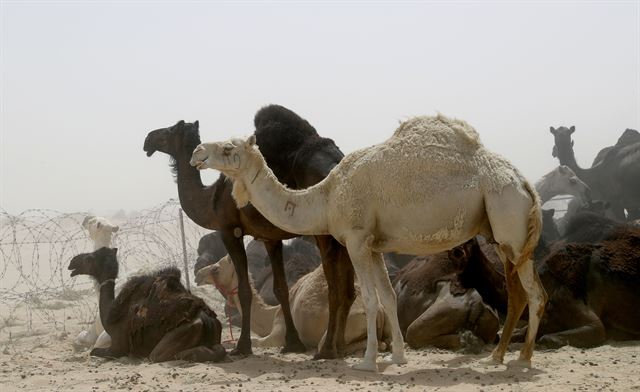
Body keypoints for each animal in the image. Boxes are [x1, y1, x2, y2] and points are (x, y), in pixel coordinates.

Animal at [67, 248, 226, 362]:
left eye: (89, 258)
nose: (72, 261)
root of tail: (207, 320)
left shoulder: (118, 347)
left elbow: (94, 351)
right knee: (219, 349)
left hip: (179, 335)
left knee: (157, 356)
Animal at [143, 105, 356, 358]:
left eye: (171, 129)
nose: (148, 139)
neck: (211, 199)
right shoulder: (270, 238)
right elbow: (280, 288)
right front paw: (292, 343)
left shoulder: (229, 230)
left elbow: (244, 290)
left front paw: (242, 346)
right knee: (348, 289)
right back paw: (340, 346)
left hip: (323, 231)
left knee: (335, 289)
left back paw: (326, 349)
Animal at [196, 253, 390, 354]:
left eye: (216, 268)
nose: (198, 274)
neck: (272, 313)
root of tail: (381, 311)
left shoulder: (278, 333)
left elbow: (257, 341)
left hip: (350, 322)